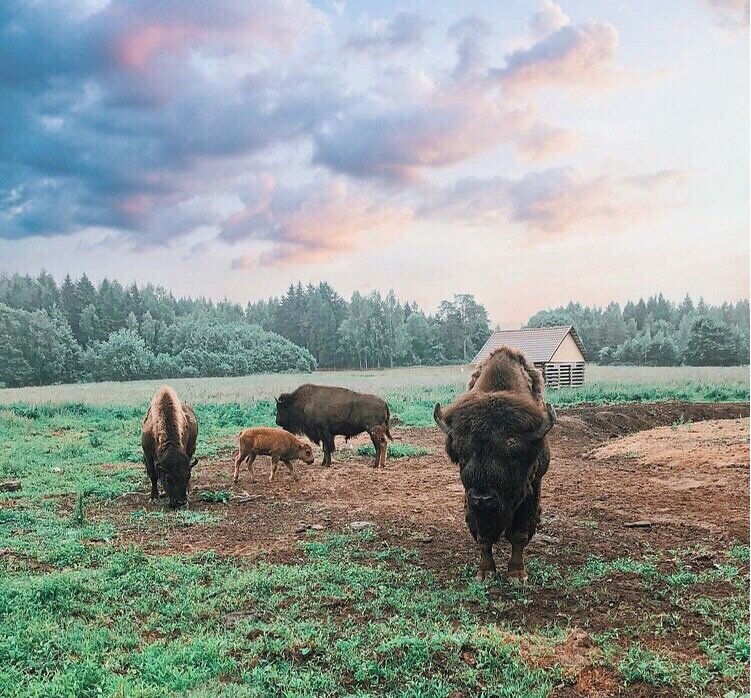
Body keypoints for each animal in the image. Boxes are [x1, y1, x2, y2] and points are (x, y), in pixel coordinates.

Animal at [434, 348, 560, 580]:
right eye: (463, 454)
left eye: (513, 454)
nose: (483, 498)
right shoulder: (473, 505)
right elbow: (483, 537)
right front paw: (485, 572)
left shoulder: (532, 486)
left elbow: (519, 534)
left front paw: (517, 573)